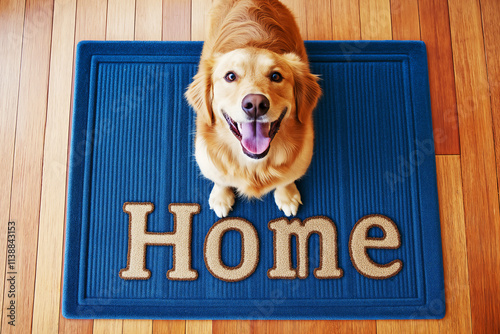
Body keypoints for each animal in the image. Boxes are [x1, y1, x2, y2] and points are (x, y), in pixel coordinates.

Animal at [186, 0, 322, 218]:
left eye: (276, 76)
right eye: (230, 76)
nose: (256, 104)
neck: (254, 166)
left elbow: (286, 179)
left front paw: (287, 195)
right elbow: (220, 179)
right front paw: (221, 197)